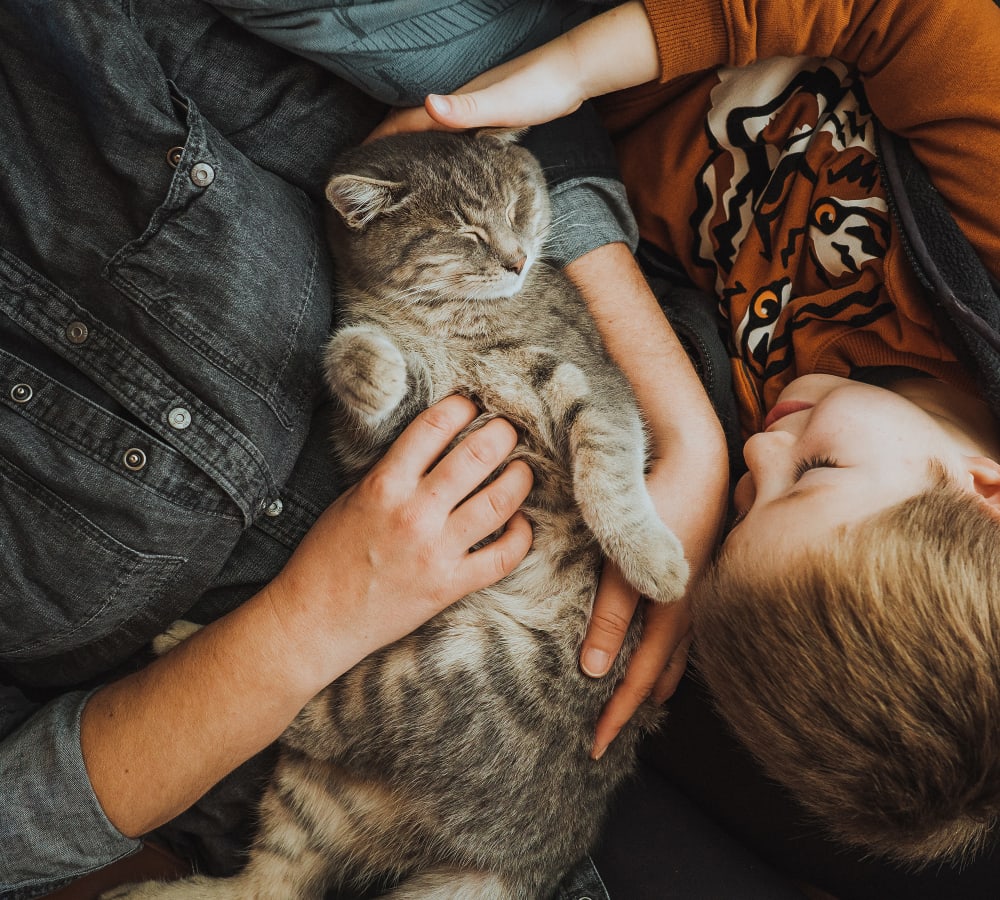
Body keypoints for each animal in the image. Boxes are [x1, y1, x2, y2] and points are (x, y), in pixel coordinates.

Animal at [105, 130, 692, 900]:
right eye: (467, 232)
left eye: (517, 206)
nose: (517, 259)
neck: (442, 319)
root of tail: (527, 857)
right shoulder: (398, 432)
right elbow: (370, 373)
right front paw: (363, 356)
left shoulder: (589, 384)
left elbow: (608, 471)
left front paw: (652, 561)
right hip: (376, 732)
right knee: (273, 822)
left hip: (445, 675)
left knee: (304, 744)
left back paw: (175, 646)